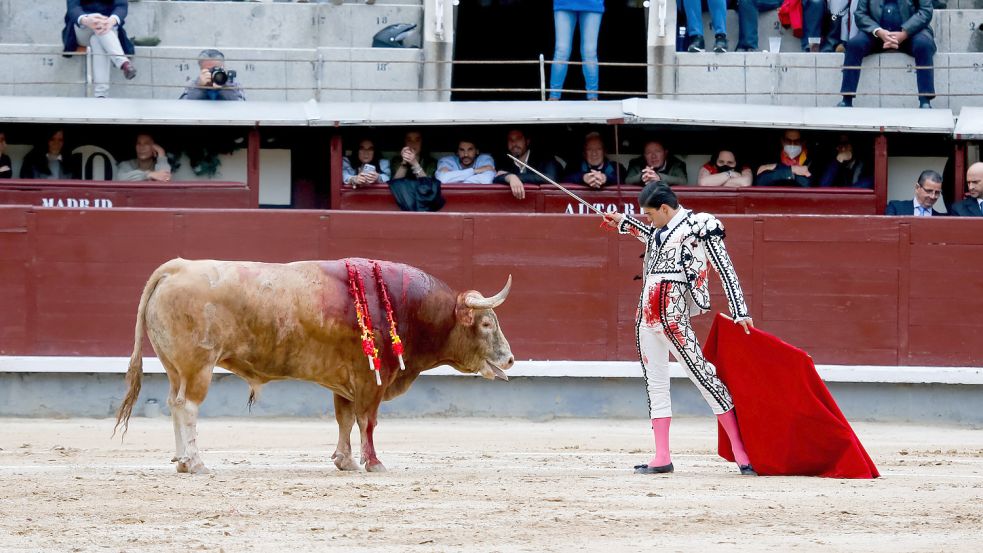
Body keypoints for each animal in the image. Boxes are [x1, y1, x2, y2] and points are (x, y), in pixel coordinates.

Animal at [114, 256, 516, 472]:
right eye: (486, 324)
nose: (510, 358)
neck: (404, 307)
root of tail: (176, 268)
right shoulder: (372, 380)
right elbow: (367, 422)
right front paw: (373, 463)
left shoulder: (346, 382)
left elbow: (344, 420)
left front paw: (345, 460)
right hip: (198, 366)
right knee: (188, 407)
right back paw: (195, 462)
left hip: (174, 368)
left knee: (173, 403)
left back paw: (180, 459)